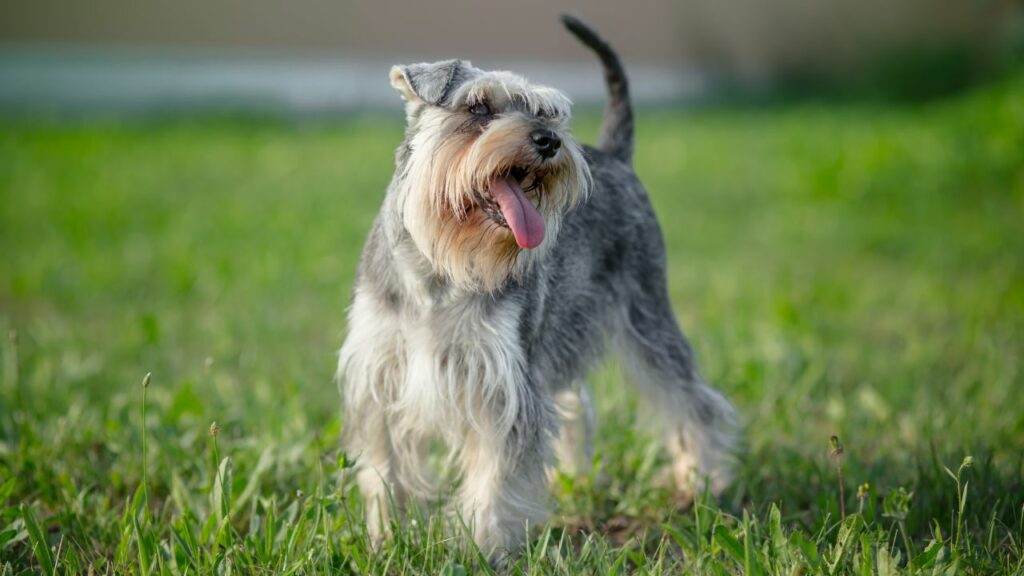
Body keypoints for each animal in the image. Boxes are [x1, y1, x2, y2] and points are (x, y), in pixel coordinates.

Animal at [335, 14, 737, 557]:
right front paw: (385, 538)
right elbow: (384, 471)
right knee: (577, 406)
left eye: (546, 111)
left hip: (647, 317)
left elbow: (494, 479)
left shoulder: (503, 385)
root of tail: (615, 155)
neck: (439, 270)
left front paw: (478, 548)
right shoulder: (380, 378)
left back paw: (701, 480)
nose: (549, 140)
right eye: (477, 107)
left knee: (691, 399)